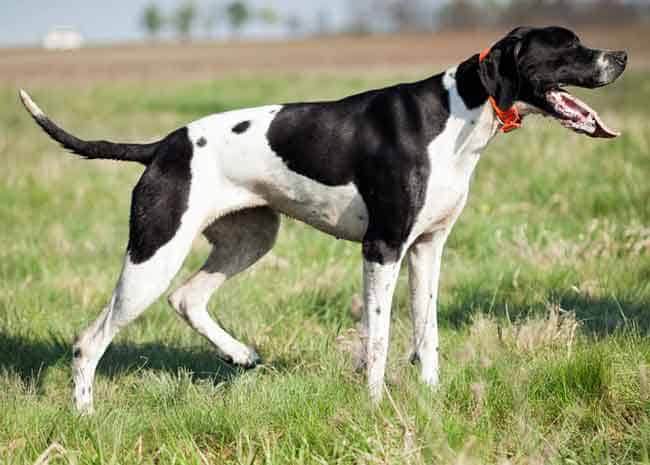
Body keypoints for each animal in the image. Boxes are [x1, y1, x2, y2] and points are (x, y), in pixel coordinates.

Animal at [20, 26, 624, 410]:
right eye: (569, 46)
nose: (620, 56)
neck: (458, 112)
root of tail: (162, 147)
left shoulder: (428, 249)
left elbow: (426, 333)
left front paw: (431, 399)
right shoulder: (382, 248)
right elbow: (379, 338)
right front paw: (377, 406)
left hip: (249, 239)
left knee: (187, 298)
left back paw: (240, 354)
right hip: (153, 253)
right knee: (89, 341)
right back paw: (85, 416)